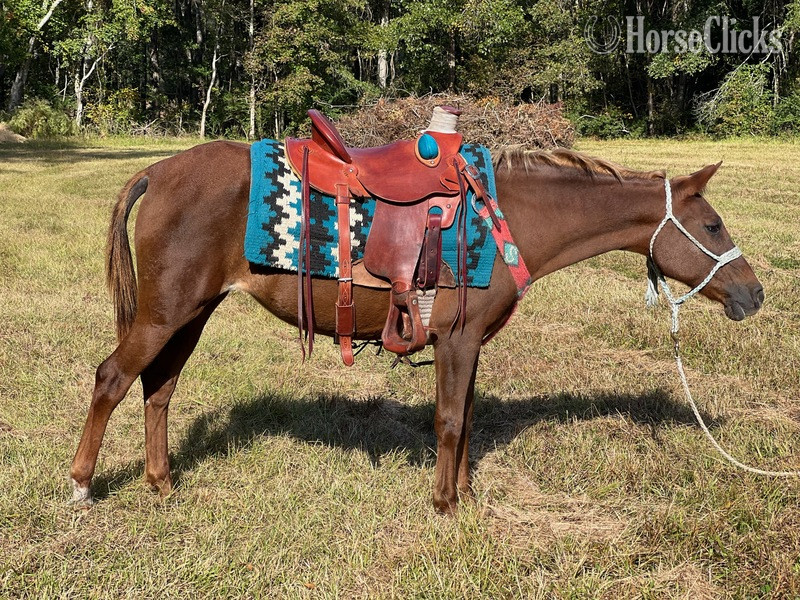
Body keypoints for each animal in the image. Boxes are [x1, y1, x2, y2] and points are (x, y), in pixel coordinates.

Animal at [69, 141, 764, 514]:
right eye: (711, 226)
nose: (754, 294)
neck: (504, 220)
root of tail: (160, 170)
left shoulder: (471, 345)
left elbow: (469, 418)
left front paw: (463, 494)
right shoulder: (455, 340)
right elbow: (450, 421)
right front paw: (445, 504)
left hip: (189, 313)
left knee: (158, 389)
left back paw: (161, 483)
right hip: (164, 313)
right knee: (112, 379)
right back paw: (81, 483)